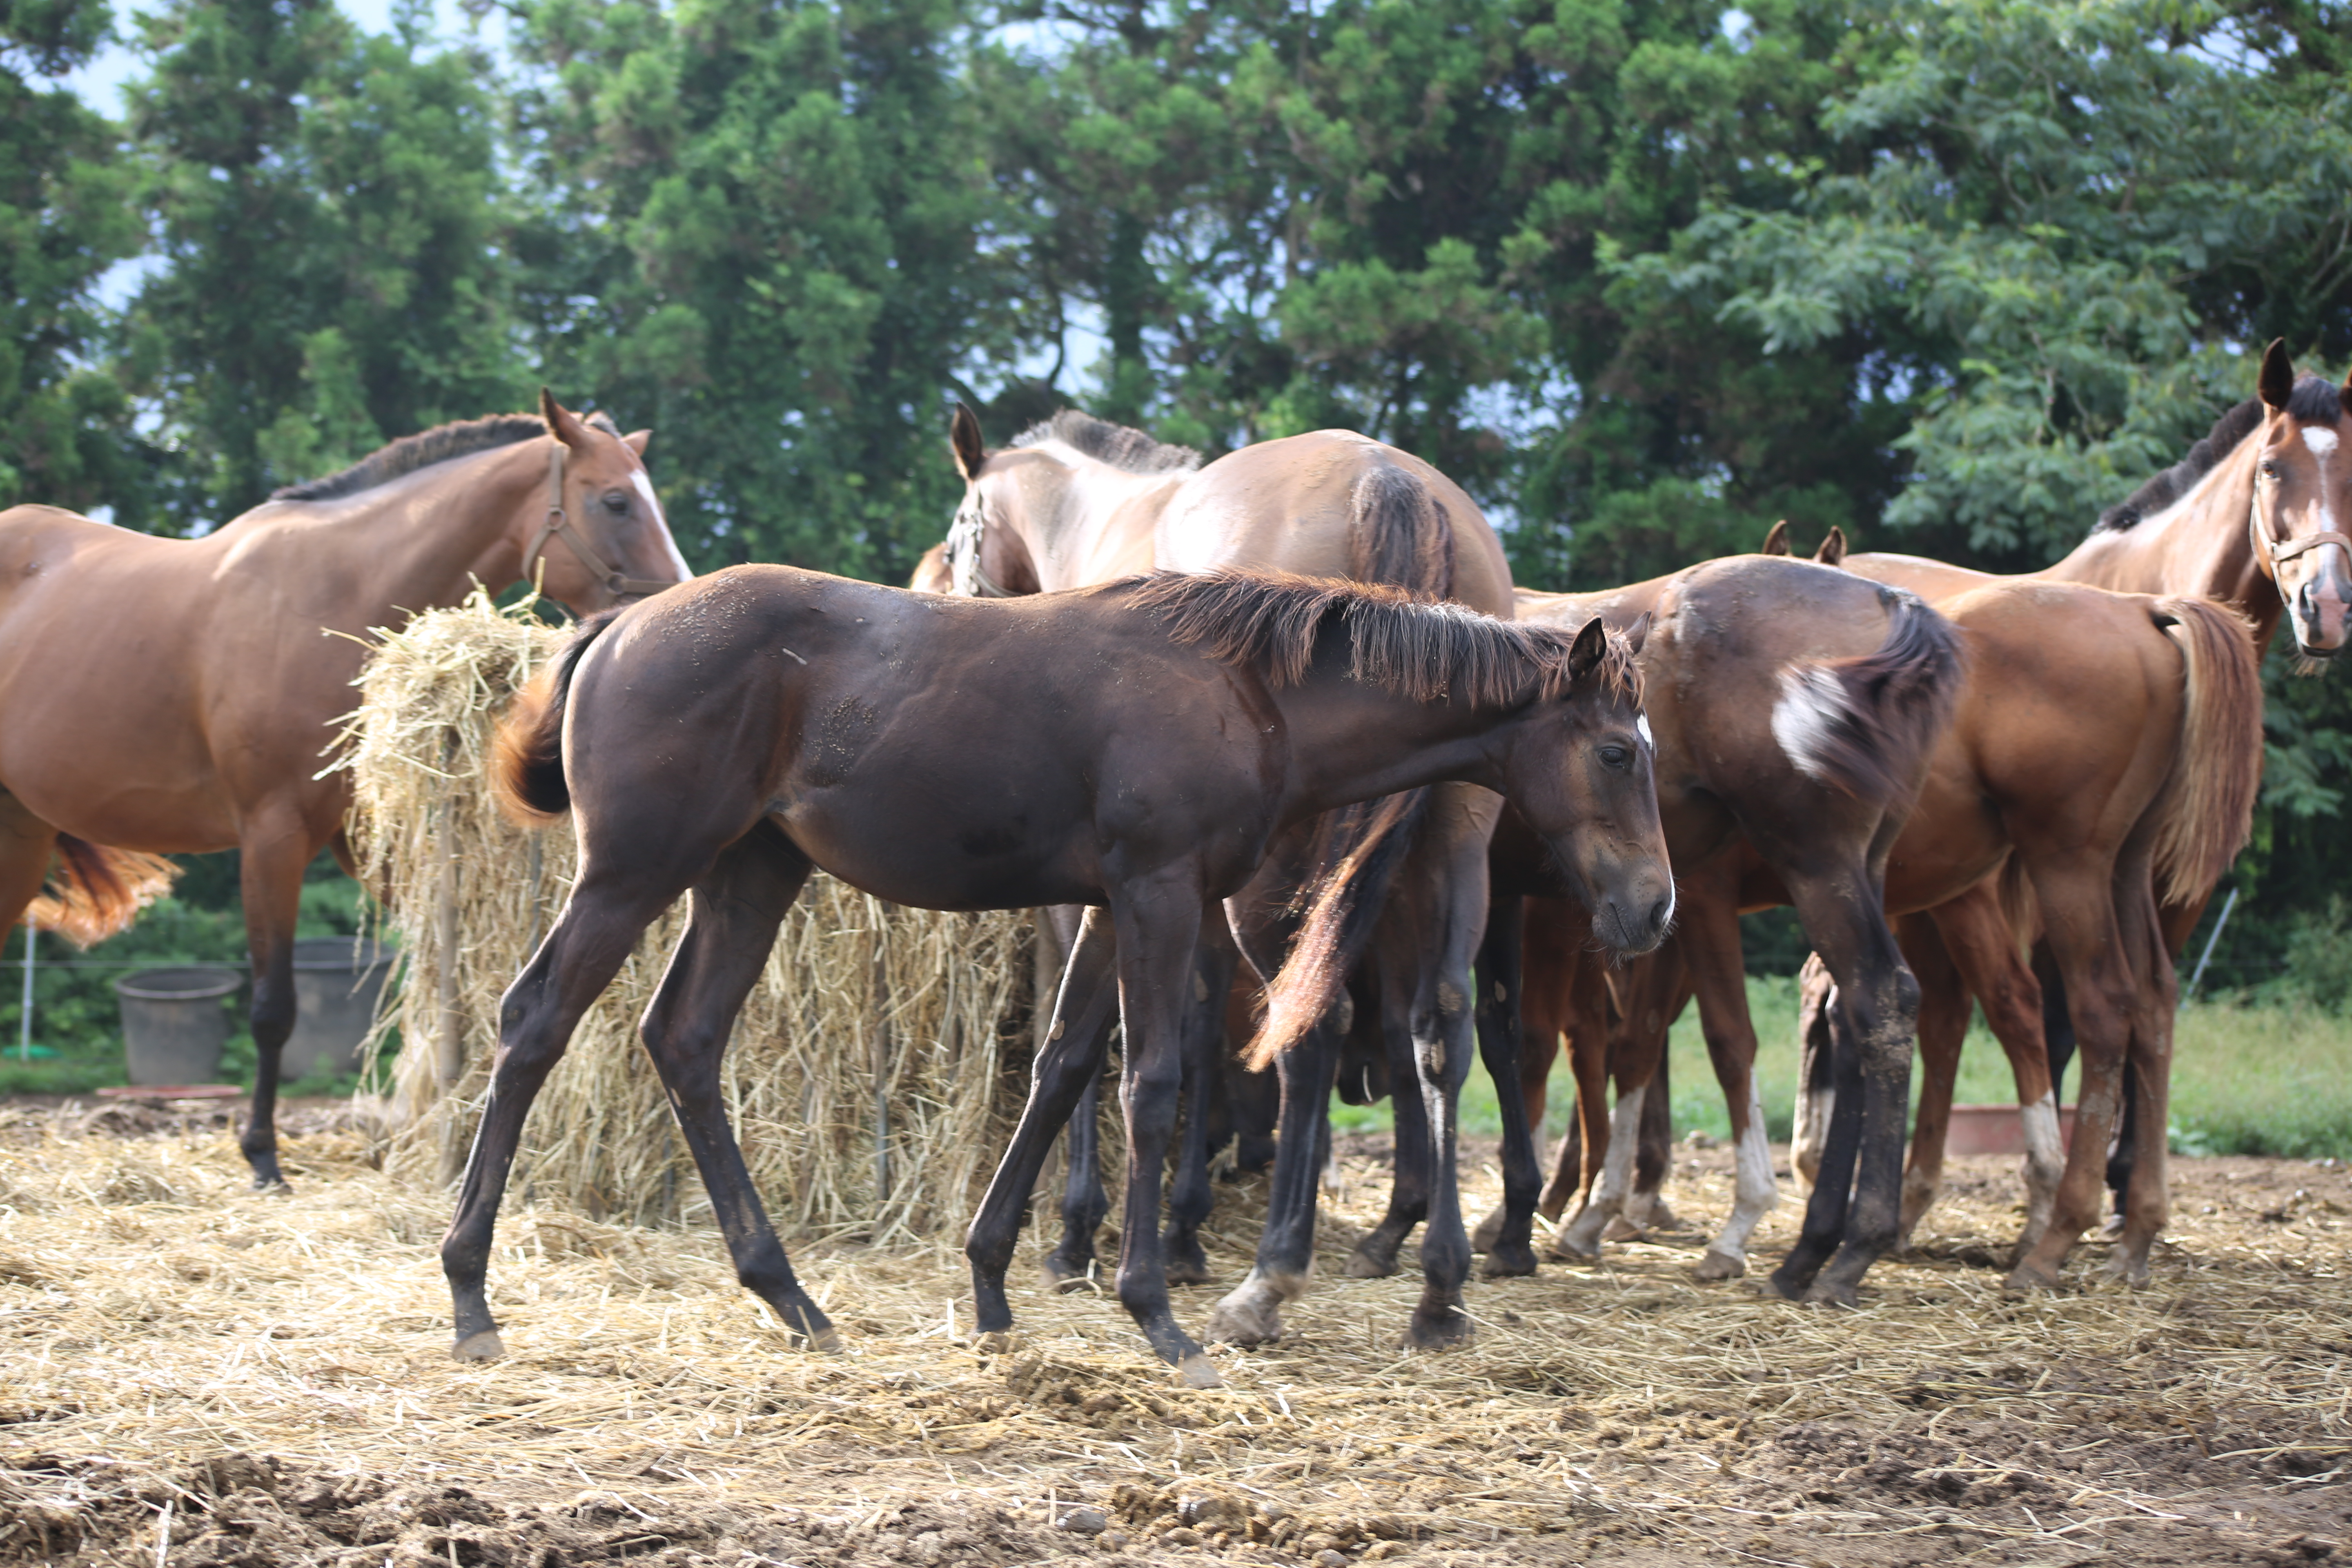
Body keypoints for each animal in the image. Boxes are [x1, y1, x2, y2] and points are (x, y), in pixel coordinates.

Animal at [0, 395, 686, 1189]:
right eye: (615, 502)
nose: (674, 611)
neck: (328, 598)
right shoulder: (272, 837)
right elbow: (273, 1008)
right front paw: (263, 1154)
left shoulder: (354, 841)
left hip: (20, 836)